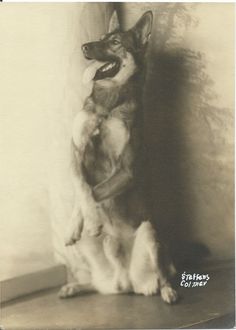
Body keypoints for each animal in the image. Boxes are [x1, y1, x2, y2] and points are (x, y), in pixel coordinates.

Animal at [60, 10, 178, 304]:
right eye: (100, 37)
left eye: (114, 42)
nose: (84, 47)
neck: (108, 102)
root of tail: (126, 282)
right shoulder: (75, 150)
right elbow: (83, 188)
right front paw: (76, 225)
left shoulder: (126, 170)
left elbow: (95, 190)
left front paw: (90, 221)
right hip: (87, 256)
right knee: (98, 284)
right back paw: (74, 287)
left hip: (150, 234)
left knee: (163, 275)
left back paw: (169, 292)